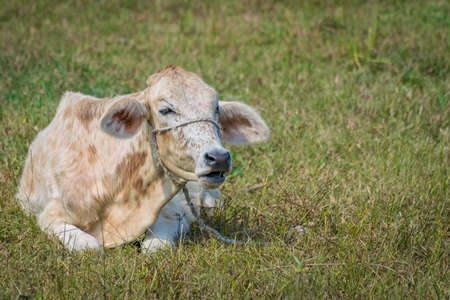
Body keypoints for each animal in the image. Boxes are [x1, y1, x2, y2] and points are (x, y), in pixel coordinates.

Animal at [16, 66, 270, 253]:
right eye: (166, 110)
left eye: (216, 108)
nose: (218, 158)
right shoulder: (50, 214)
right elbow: (90, 247)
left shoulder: (173, 211)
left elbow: (153, 248)